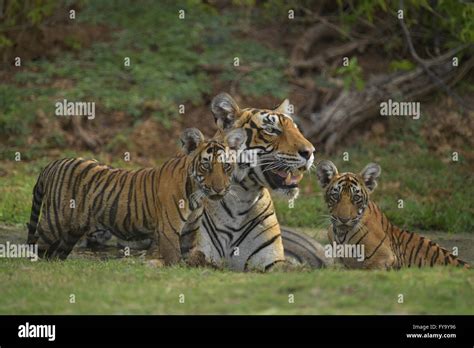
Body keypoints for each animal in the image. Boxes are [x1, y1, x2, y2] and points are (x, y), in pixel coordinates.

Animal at [25, 128, 244, 264]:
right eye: (206, 166)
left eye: (226, 166)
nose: (219, 189)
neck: (196, 194)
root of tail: (53, 163)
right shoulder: (168, 230)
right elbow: (173, 258)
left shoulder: (190, 231)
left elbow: (189, 255)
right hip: (54, 222)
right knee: (37, 243)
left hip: (72, 231)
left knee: (55, 254)